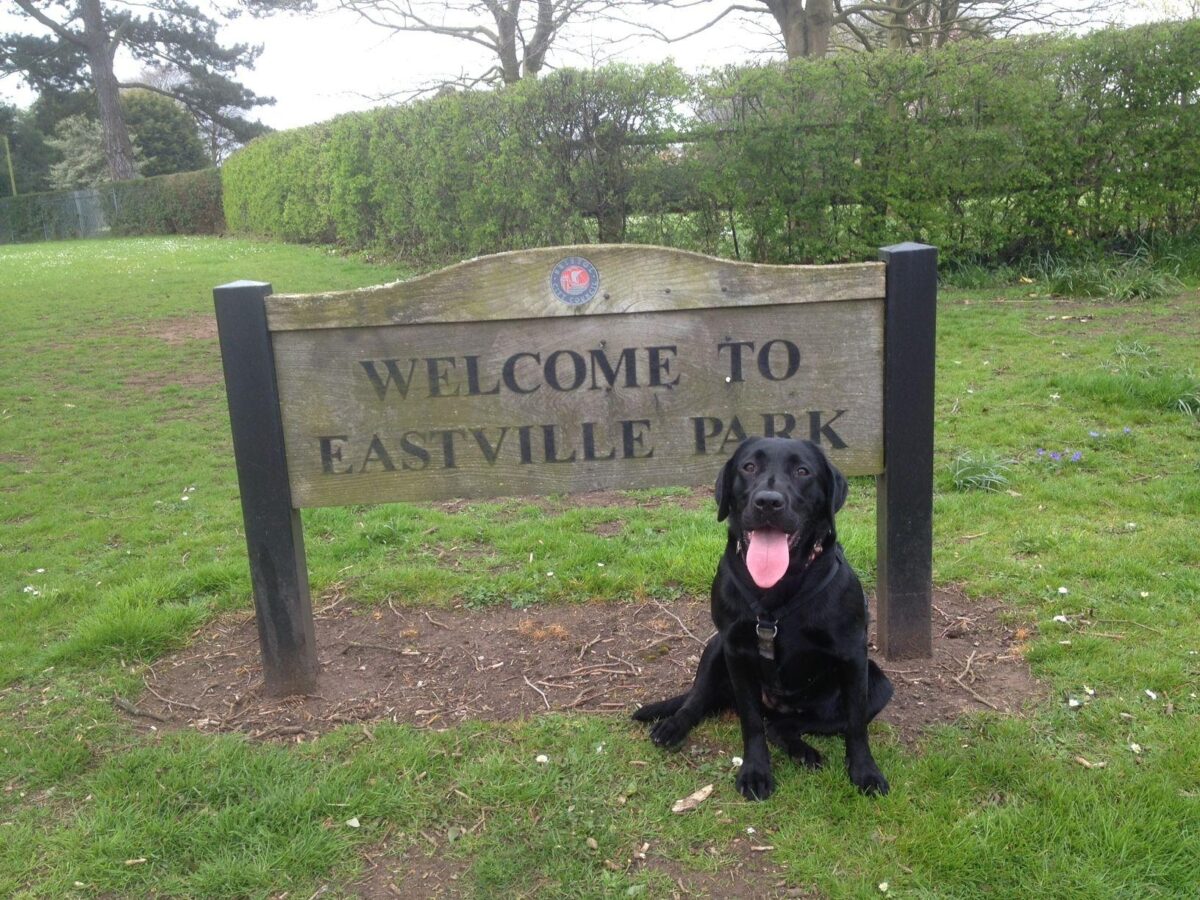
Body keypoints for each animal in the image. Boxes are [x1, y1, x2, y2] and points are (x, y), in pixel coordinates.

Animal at [638, 441, 892, 801]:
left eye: (803, 471)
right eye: (748, 467)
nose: (768, 501)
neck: (777, 592)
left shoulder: (854, 654)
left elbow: (856, 725)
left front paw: (865, 772)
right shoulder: (735, 650)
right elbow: (751, 723)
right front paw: (755, 772)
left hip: (879, 684)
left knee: (785, 726)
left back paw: (803, 751)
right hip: (715, 647)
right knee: (701, 699)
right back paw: (674, 725)